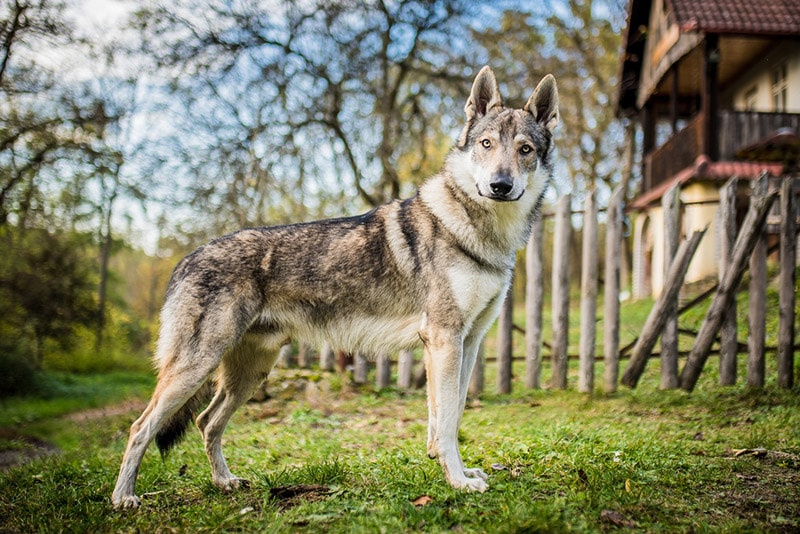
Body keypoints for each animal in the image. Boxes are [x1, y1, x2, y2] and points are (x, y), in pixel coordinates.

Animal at [112, 67, 556, 510]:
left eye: (525, 150)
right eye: (486, 144)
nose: (500, 185)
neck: (478, 230)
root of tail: (185, 259)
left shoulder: (468, 342)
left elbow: (451, 414)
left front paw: (456, 470)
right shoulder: (444, 339)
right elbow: (447, 423)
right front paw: (459, 482)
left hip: (250, 373)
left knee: (207, 422)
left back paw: (225, 482)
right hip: (198, 367)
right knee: (140, 426)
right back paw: (124, 498)